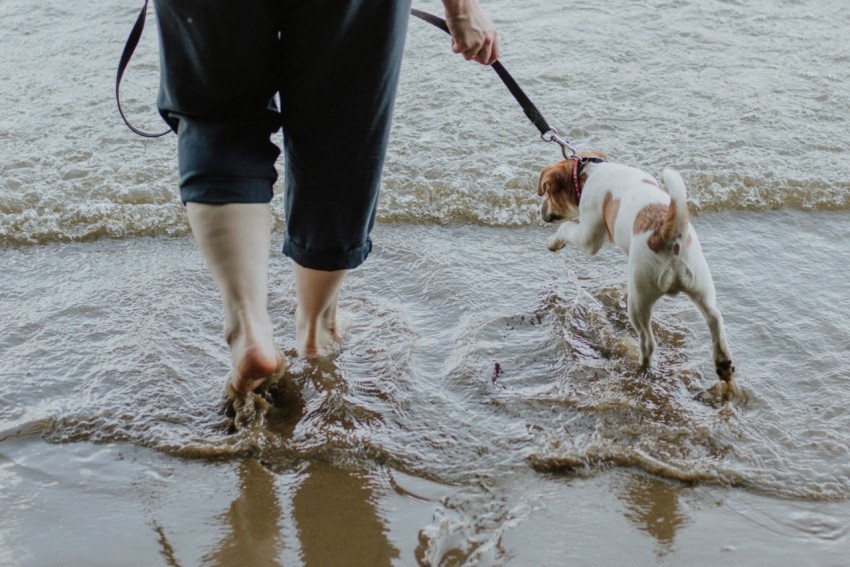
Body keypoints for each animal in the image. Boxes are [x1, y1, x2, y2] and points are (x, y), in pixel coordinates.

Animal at [540, 153, 732, 388]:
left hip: (638, 301)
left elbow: (567, 229)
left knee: (648, 342)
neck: (586, 173)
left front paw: (554, 241)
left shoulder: (588, 235)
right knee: (715, 319)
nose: (540, 211)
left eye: (547, 192)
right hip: (701, 287)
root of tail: (666, 235)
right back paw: (723, 363)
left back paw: (640, 368)